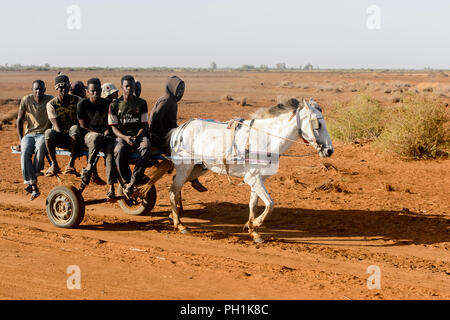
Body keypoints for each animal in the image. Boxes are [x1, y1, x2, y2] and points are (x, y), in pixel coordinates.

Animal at [167, 98, 332, 242]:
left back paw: (174, 215)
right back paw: (179, 224)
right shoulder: (252, 178)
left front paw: (253, 231)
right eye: (318, 124)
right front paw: (256, 224)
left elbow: (253, 205)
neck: (267, 139)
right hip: (185, 166)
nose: (330, 150)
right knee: (173, 191)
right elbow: (270, 204)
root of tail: (180, 128)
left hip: (197, 168)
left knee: (176, 185)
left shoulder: (258, 179)